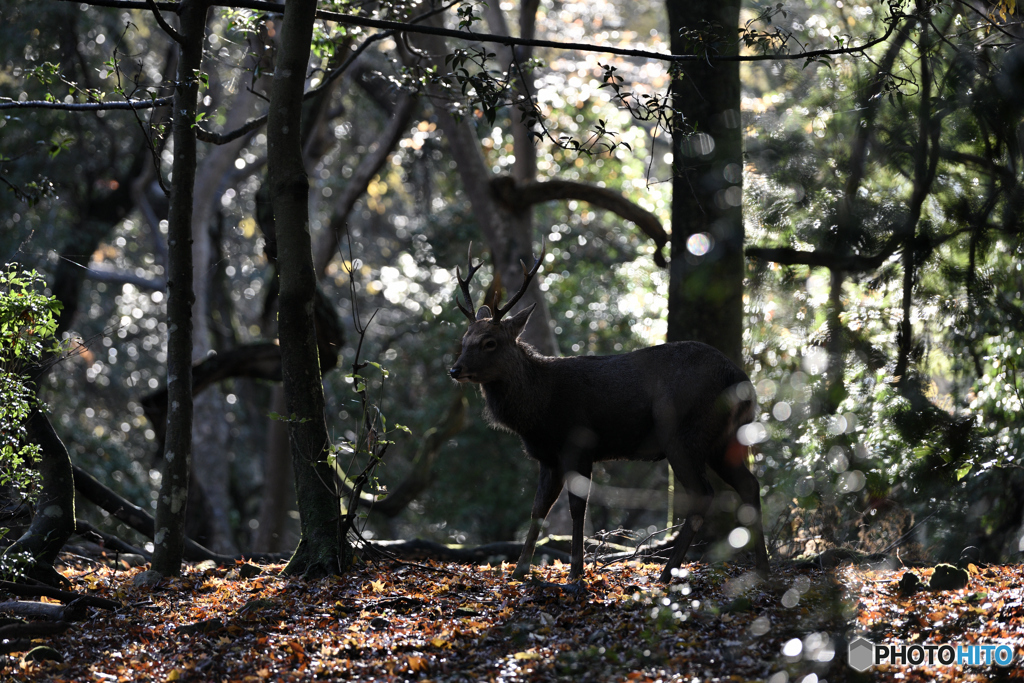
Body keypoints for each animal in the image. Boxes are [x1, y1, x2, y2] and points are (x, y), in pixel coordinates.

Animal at [448, 245, 770, 581]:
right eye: (464, 339)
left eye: (489, 342)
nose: (455, 369)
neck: (538, 411)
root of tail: (742, 381)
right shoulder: (548, 458)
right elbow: (538, 510)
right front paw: (520, 572)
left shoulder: (579, 444)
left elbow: (577, 508)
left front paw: (575, 573)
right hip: (724, 439)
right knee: (749, 485)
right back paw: (762, 569)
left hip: (684, 433)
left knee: (703, 494)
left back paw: (666, 575)